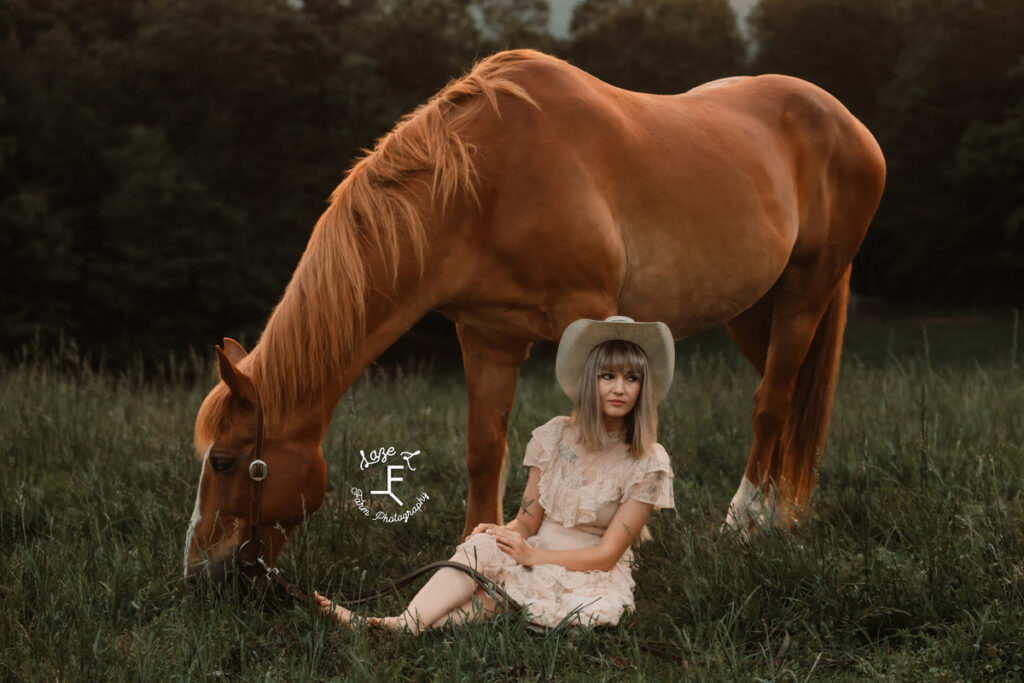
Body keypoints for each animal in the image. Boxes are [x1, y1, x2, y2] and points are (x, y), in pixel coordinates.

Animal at [186, 48, 888, 577]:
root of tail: (848, 122)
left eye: (225, 462)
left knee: (772, 402)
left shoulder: (592, 318)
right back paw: (781, 516)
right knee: (788, 402)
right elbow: (484, 449)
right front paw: (473, 552)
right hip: (753, 316)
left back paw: (744, 522)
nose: (201, 572)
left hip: (805, 294)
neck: (484, 183)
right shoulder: (487, 336)